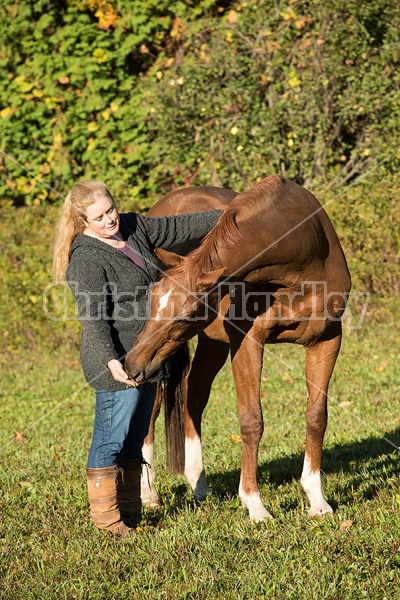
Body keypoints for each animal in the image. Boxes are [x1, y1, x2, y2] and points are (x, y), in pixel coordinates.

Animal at [127, 175, 350, 520]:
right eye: (151, 302)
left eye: (186, 314)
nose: (131, 365)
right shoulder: (248, 341)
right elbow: (251, 421)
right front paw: (255, 504)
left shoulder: (326, 340)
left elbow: (316, 416)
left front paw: (317, 500)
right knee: (151, 413)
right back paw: (150, 494)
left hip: (209, 345)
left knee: (193, 396)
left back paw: (199, 485)